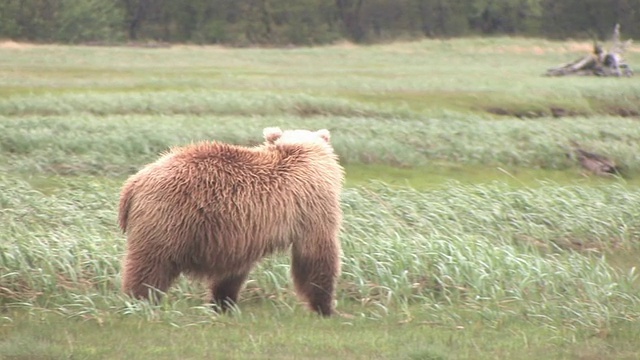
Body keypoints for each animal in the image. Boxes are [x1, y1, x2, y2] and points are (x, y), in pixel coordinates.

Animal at [117, 128, 342, 316]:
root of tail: (133, 183)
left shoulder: (242, 233)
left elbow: (232, 273)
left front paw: (222, 303)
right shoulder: (312, 207)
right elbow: (316, 255)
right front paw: (325, 307)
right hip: (167, 219)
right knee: (150, 266)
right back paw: (140, 303)